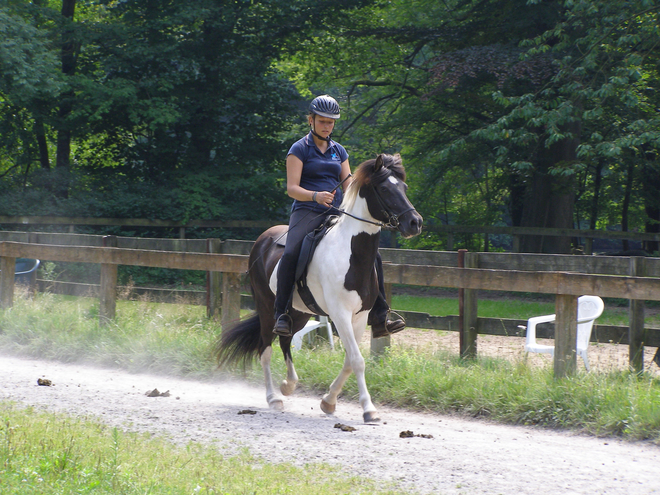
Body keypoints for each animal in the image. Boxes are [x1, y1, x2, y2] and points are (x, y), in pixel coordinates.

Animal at [215, 154, 422, 422]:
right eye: (385, 188)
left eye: (404, 188)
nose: (415, 222)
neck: (350, 252)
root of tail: (263, 239)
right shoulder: (340, 315)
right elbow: (357, 360)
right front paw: (369, 410)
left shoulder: (360, 316)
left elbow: (349, 360)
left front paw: (329, 401)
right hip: (266, 307)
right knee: (266, 348)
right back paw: (273, 398)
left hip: (298, 312)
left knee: (285, 340)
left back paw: (289, 385)